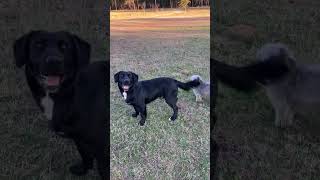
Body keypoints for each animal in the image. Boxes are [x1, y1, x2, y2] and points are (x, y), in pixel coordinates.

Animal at [13, 30, 107, 179]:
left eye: (65, 46)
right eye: (38, 45)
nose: (53, 61)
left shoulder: (102, 146)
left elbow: (103, 170)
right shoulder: (78, 138)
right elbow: (84, 154)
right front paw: (83, 170)